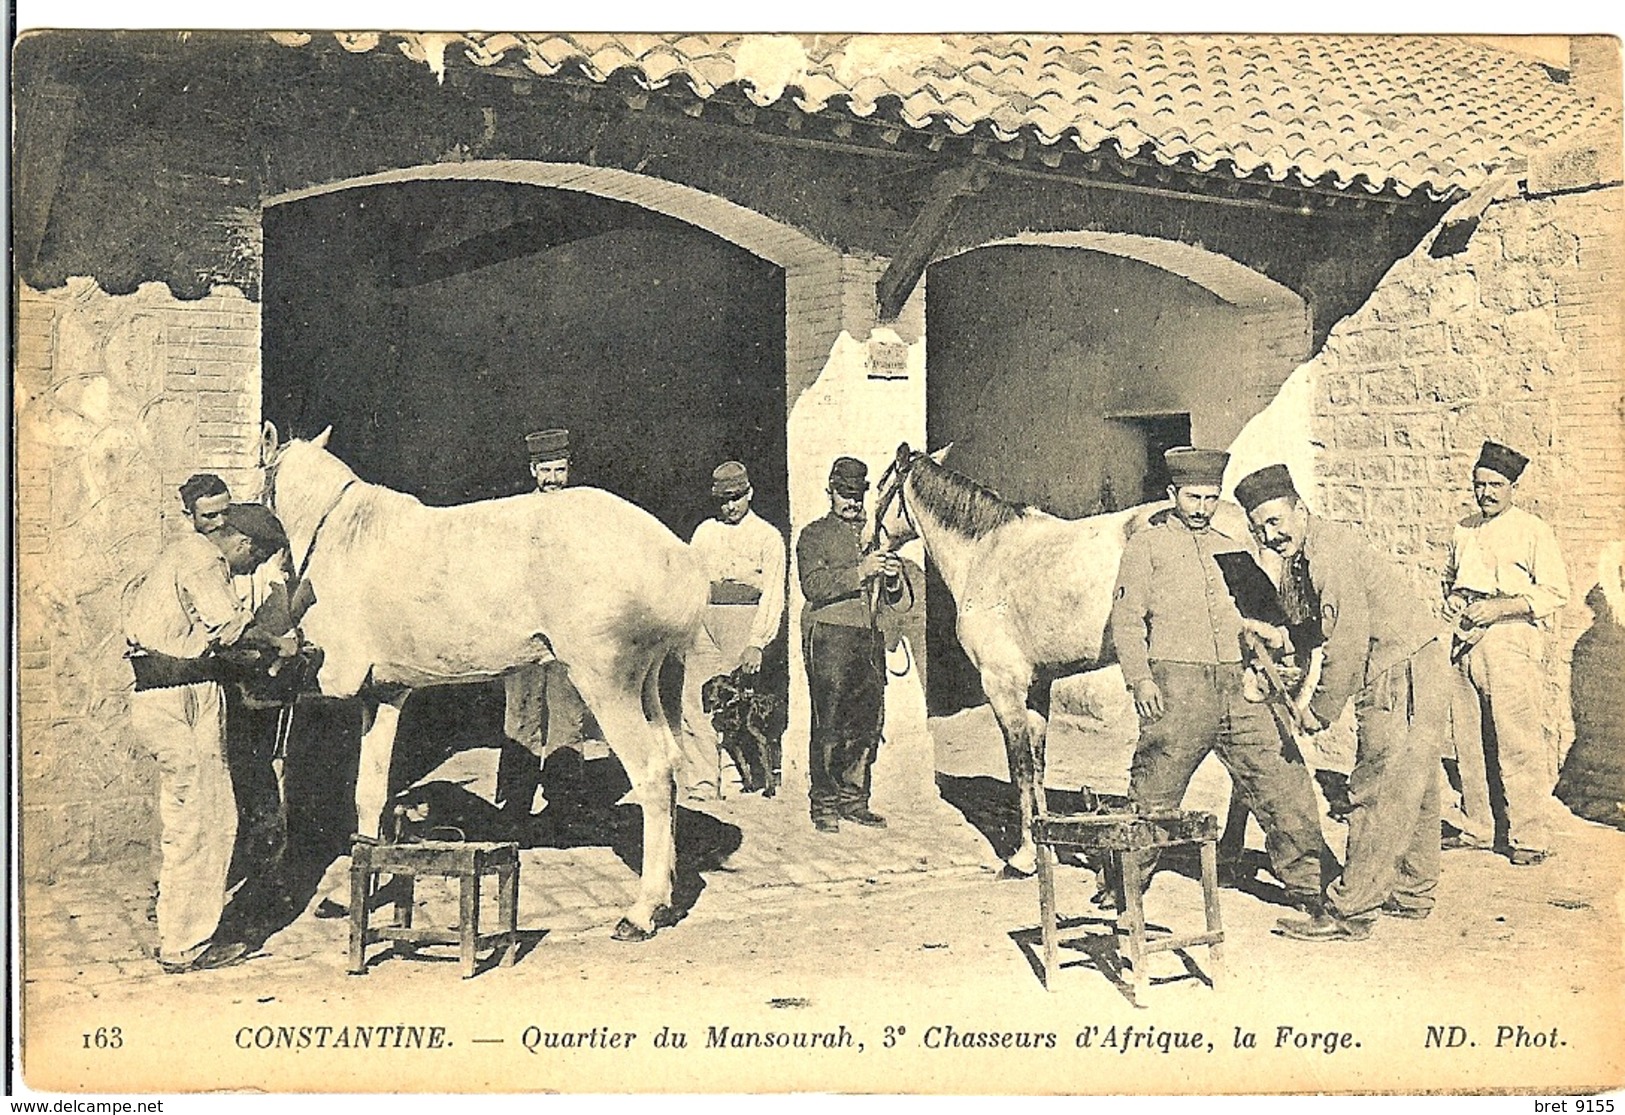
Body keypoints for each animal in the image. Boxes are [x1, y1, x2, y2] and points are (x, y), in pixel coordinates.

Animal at [260, 429, 705, 942]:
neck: (343, 537)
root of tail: (677, 555)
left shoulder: (326, 681)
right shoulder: (383, 694)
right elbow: (368, 790)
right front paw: (360, 886)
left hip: (608, 686)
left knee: (651, 775)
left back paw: (642, 911)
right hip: (647, 685)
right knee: (669, 765)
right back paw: (667, 897)